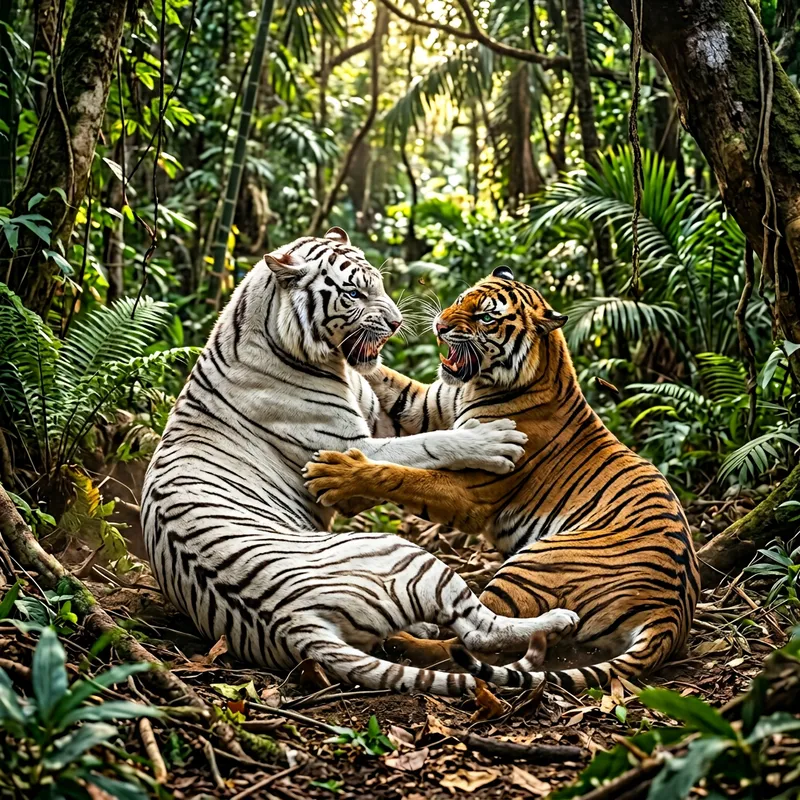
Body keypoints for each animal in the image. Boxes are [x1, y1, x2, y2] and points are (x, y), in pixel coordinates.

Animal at [141, 232, 580, 697]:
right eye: (353, 294)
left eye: (380, 285)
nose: (396, 323)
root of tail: (294, 624)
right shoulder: (350, 444)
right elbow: (428, 445)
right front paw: (494, 441)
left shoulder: (387, 411)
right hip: (405, 553)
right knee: (479, 631)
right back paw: (557, 620)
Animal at [304, 266, 701, 693]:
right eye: (461, 300)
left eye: (487, 318)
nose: (440, 326)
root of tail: (670, 615)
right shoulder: (429, 405)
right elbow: (390, 380)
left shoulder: (471, 490)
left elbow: (404, 476)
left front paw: (337, 475)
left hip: (533, 566)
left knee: (474, 641)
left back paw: (401, 641)